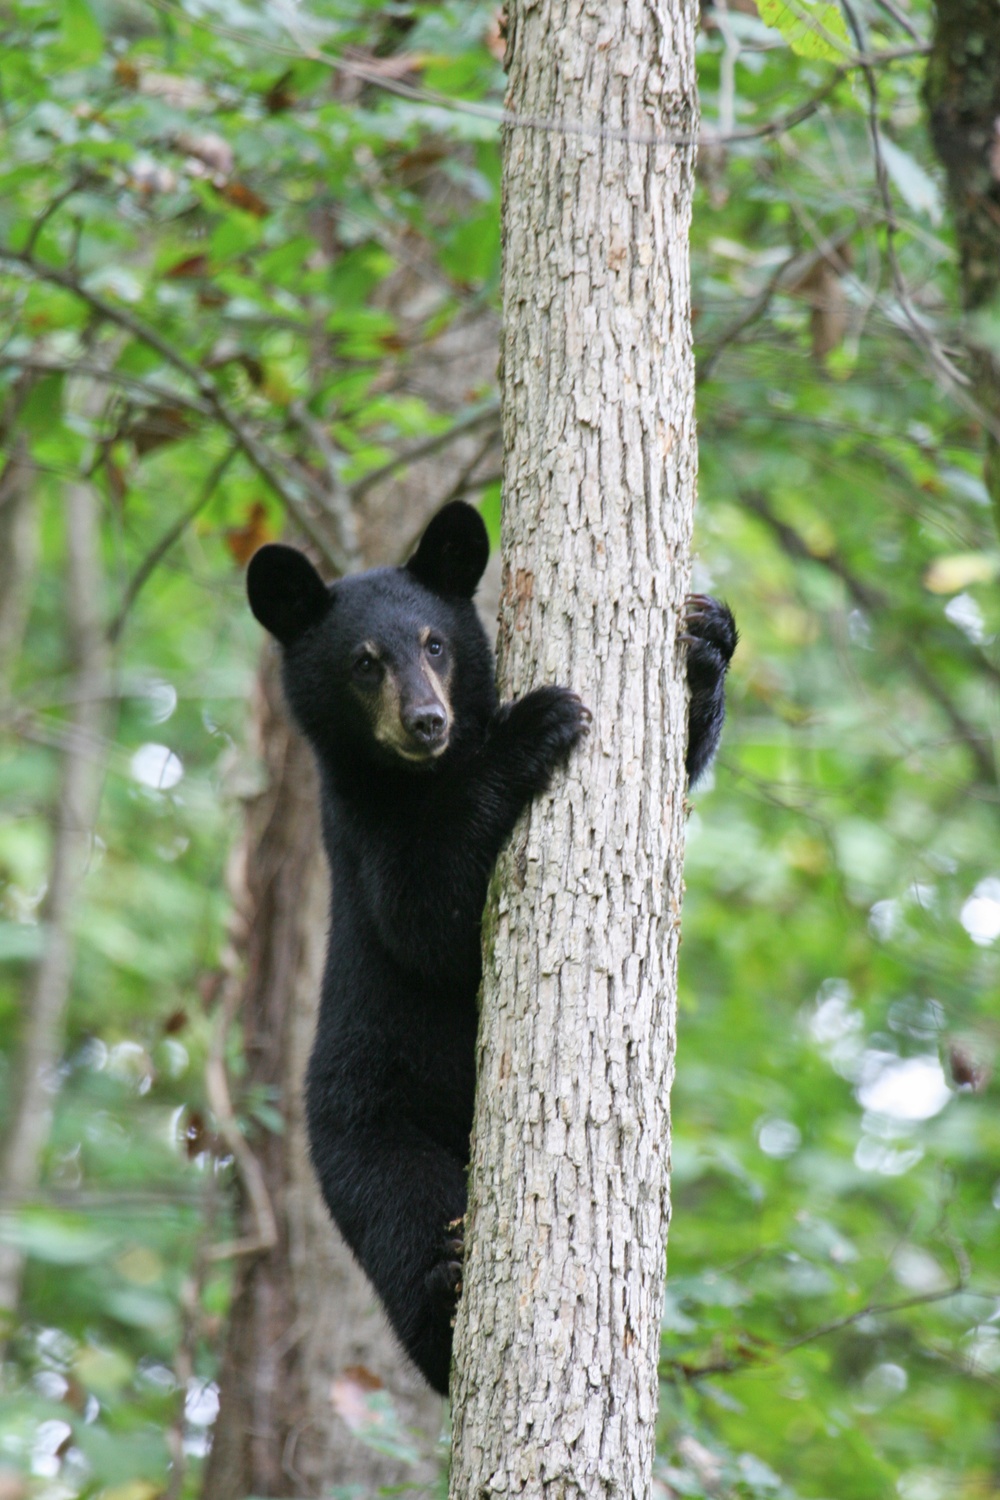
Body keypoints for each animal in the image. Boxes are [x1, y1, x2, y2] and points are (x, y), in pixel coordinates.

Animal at [248, 501, 734, 1392]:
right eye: (364, 662)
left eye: (435, 642)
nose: (426, 721)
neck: (419, 775)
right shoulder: (363, 827)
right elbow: (427, 916)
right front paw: (536, 723)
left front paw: (709, 639)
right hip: (372, 1133)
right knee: (402, 1221)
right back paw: (443, 1289)